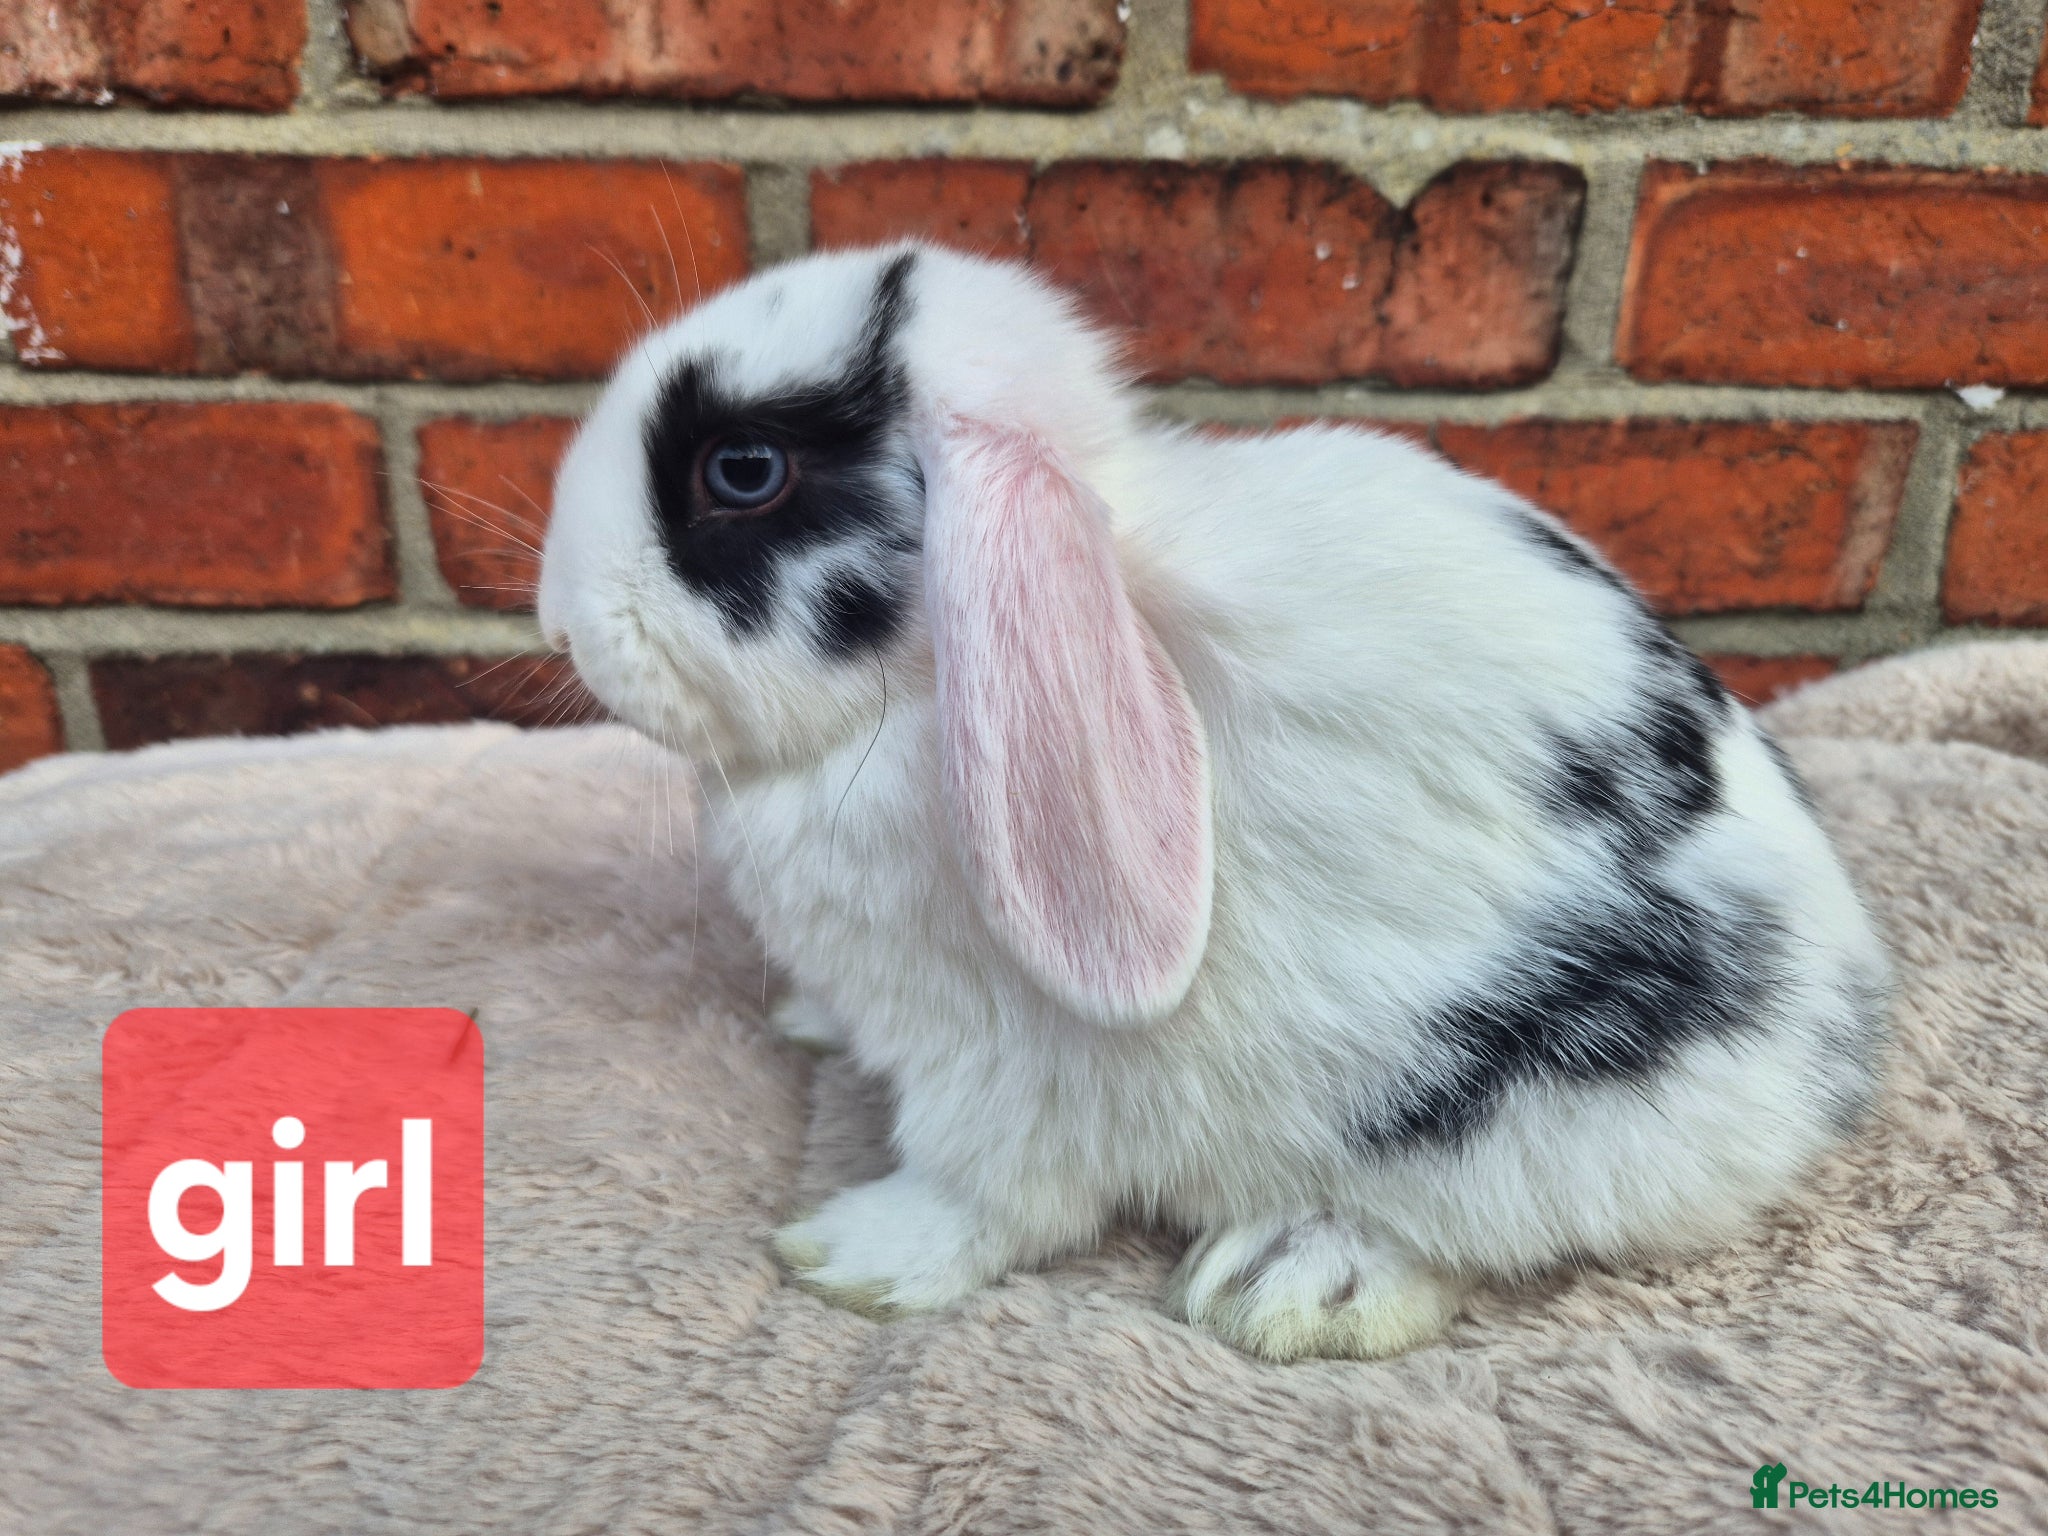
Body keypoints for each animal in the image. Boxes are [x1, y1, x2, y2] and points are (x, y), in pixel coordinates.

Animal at [537, 241, 1891, 1361]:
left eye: (742, 469)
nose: (556, 619)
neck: (909, 698)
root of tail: (1834, 1046)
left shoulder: (996, 1073)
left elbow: (978, 1194)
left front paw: (850, 1252)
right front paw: (807, 1022)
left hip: (1522, 1117)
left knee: (1478, 1234)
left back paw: (1293, 1283)